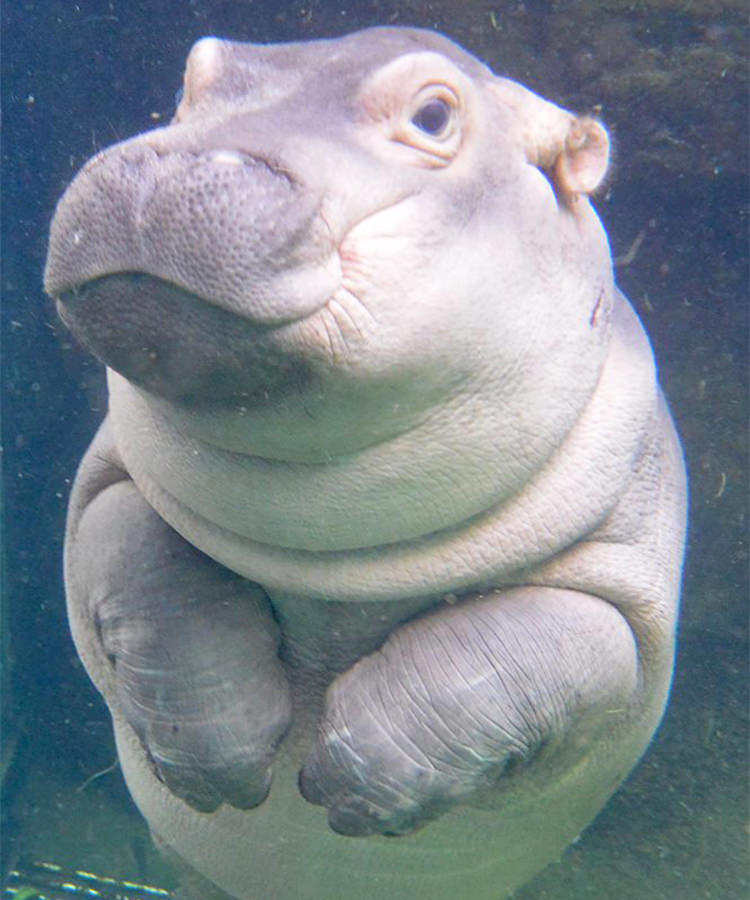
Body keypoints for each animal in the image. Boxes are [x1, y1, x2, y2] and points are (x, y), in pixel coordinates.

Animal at [43, 25, 687, 900]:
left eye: (434, 112)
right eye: (192, 79)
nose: (165, 170)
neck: (333, 551)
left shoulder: (630, 591)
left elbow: (528, 643)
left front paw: (350, 784)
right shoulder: (108, 481)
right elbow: (140, 555)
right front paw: (223, 766)